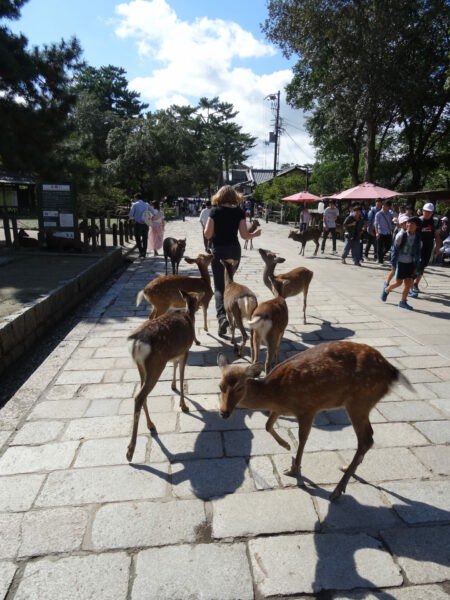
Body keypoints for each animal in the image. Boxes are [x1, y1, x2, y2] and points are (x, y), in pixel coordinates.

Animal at [125, 290, 198, 460]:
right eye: (198, 298)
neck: (188, 316)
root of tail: (137, 343)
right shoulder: (185, 349)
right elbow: (182, 375)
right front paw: (184, 405)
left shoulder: (175, 353)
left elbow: (175, 365)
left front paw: (173, 386)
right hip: (157, 364)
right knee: (139, 396)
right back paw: (130, 450)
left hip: (141, 367)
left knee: (141, 394)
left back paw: (150, 424)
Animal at [216, 342, 414, 502]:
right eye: (220, 386)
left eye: (239, 387)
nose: (223, 413)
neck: (274, 393)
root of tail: (392, 372)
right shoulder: (280, 410)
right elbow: (268, 425)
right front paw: (286, 446)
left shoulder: (308, 408)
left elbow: (303, 439)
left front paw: (293, 468)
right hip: (362, 403)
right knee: (369, 438)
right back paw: (346, 469)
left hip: (359, 401)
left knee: (366, 439)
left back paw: (337, 490)